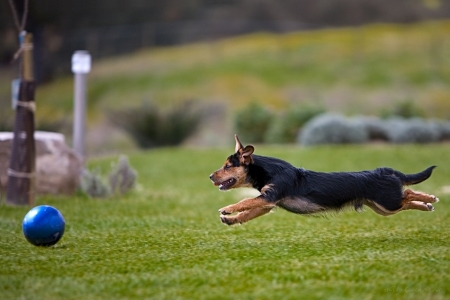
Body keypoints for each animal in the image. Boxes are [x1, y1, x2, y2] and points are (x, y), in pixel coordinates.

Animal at [209, 134, 438, 225]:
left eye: (227, 166)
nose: (210, 176)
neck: (268, 171)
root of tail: (387, 171)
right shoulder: (268, 204)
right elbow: (247, 213)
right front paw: (231, 220)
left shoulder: (269, 197)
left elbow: (244, 201)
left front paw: (227, 209)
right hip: (383, 207)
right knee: (407, 200)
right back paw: (426, 205)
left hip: (387, 201)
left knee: (408, 193)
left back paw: (430, 198)